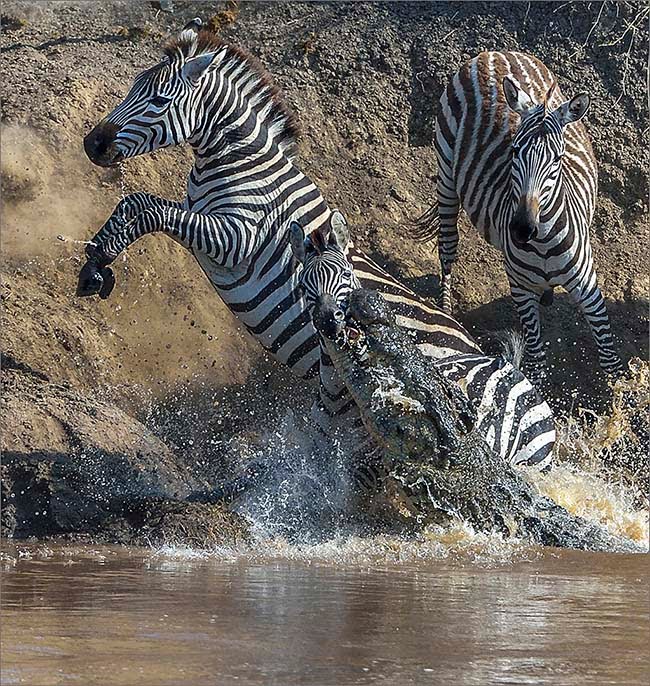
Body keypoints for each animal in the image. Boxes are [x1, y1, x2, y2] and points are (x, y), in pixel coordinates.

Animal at [411, 50, 622, 379]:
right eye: (514, 151)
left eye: (558, 159)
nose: (522, 229)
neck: (545, 243)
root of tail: (496, 53)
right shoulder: (520, 290)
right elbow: (537, 361)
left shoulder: (589, 288)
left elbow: (609, 356)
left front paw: (617, 389)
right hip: (445, 172)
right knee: (447, 246)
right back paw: (446, 309)